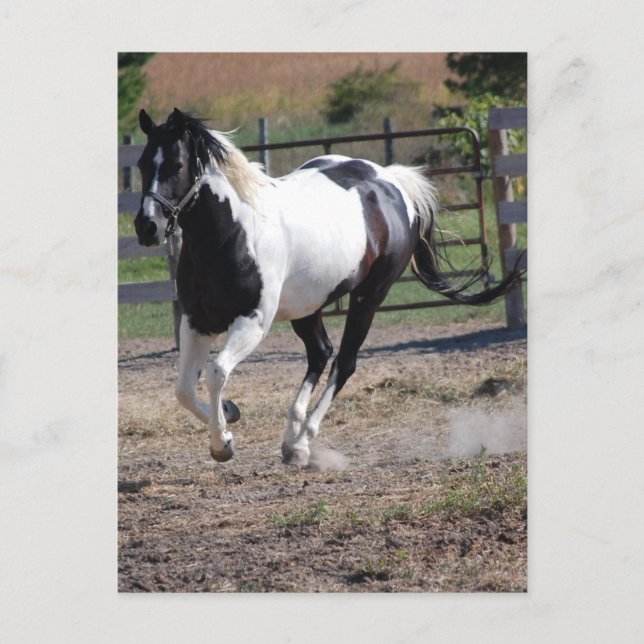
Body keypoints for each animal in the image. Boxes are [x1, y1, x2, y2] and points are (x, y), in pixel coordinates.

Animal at [134, 108, 523, 466]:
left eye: (177, 164)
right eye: (141, 164)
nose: (146, 227)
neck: (232, 234)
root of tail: (391, 181)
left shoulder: (253, 321)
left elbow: (215, 373)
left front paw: (223, 444)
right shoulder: (197, 320)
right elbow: (183, 389)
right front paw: (229, 414)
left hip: (369, 296)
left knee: (344, 362)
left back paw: (302, 443)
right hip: (308, 305)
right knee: (321, 352)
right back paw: (290, 438)